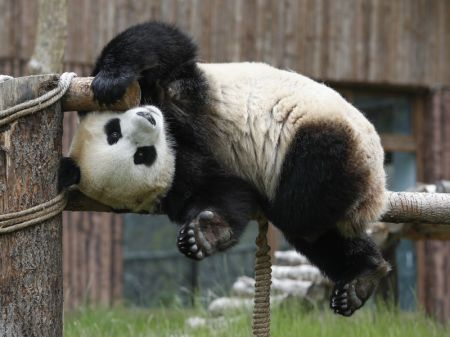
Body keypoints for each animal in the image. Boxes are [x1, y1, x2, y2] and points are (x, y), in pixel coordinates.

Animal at [59, 21, 390, 316]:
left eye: (113, 131)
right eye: (142, 155)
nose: (147, 120)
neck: (174, 138)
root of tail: (374, 192)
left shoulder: (178, 93)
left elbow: (161, 45)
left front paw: (110, 81)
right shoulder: (182, 179)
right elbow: (225, 194)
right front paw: (205, 234)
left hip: (325, 136)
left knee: (298, 207)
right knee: (313, 229)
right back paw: (361, 278)